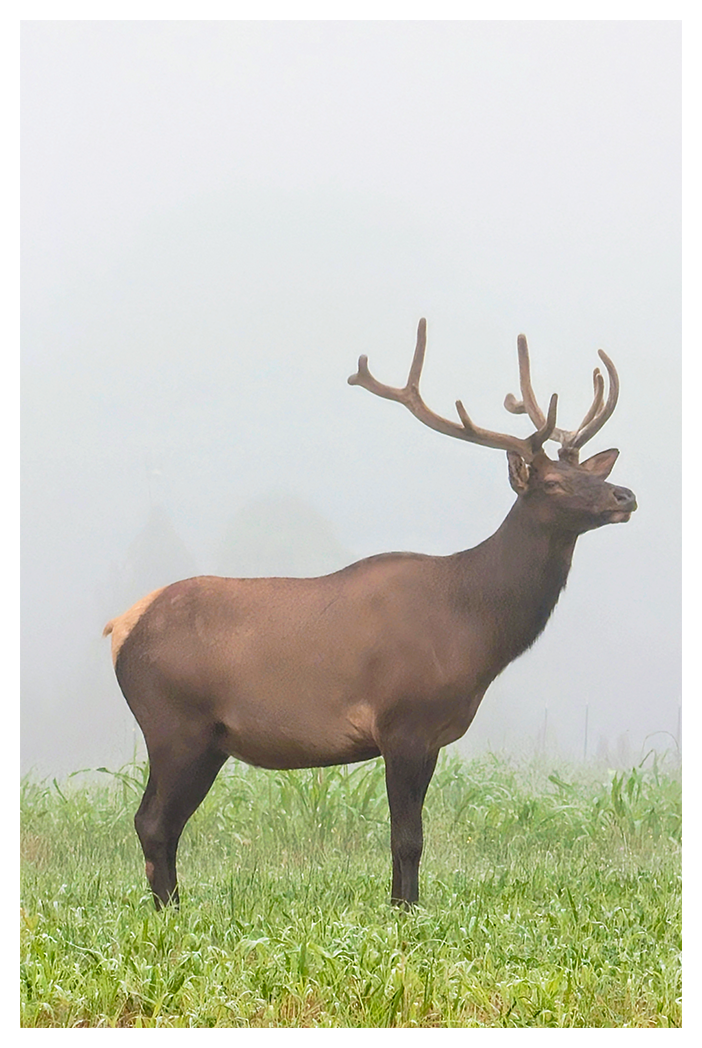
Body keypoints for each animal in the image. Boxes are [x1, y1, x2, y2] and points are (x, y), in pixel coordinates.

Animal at [103, 318, 636, 909]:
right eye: (554, 483)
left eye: (589, 473)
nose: (624, 494)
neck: (473, 633)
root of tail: (118, 627)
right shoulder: (402, 721)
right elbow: (408, 838)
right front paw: (407, 910)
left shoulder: (430, 737)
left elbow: (406, 836)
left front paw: (399, 903)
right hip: (174, 723)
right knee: (153, 822)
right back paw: (172, 910)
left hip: (206, 739)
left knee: (161, 824)